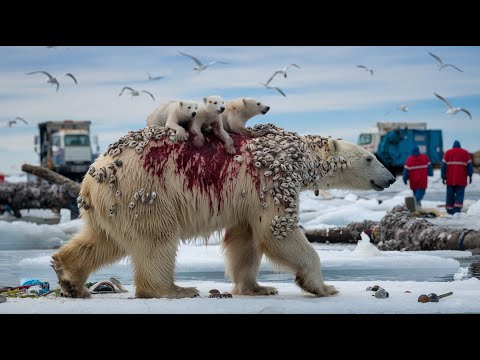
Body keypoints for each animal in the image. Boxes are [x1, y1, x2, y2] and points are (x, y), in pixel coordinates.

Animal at [52, 124, 396, 298]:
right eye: (369, 158)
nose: (391, 178)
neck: (296, 154)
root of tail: (89, 177)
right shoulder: (271, 179)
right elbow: (277, 230)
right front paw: (323, 286)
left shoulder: (247, 198)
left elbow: (245, 239)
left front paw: (259, 288)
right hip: (144, 190)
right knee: (157, 240)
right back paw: (174, 289)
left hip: (111, 202)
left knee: (102, 240)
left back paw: (70, 277)